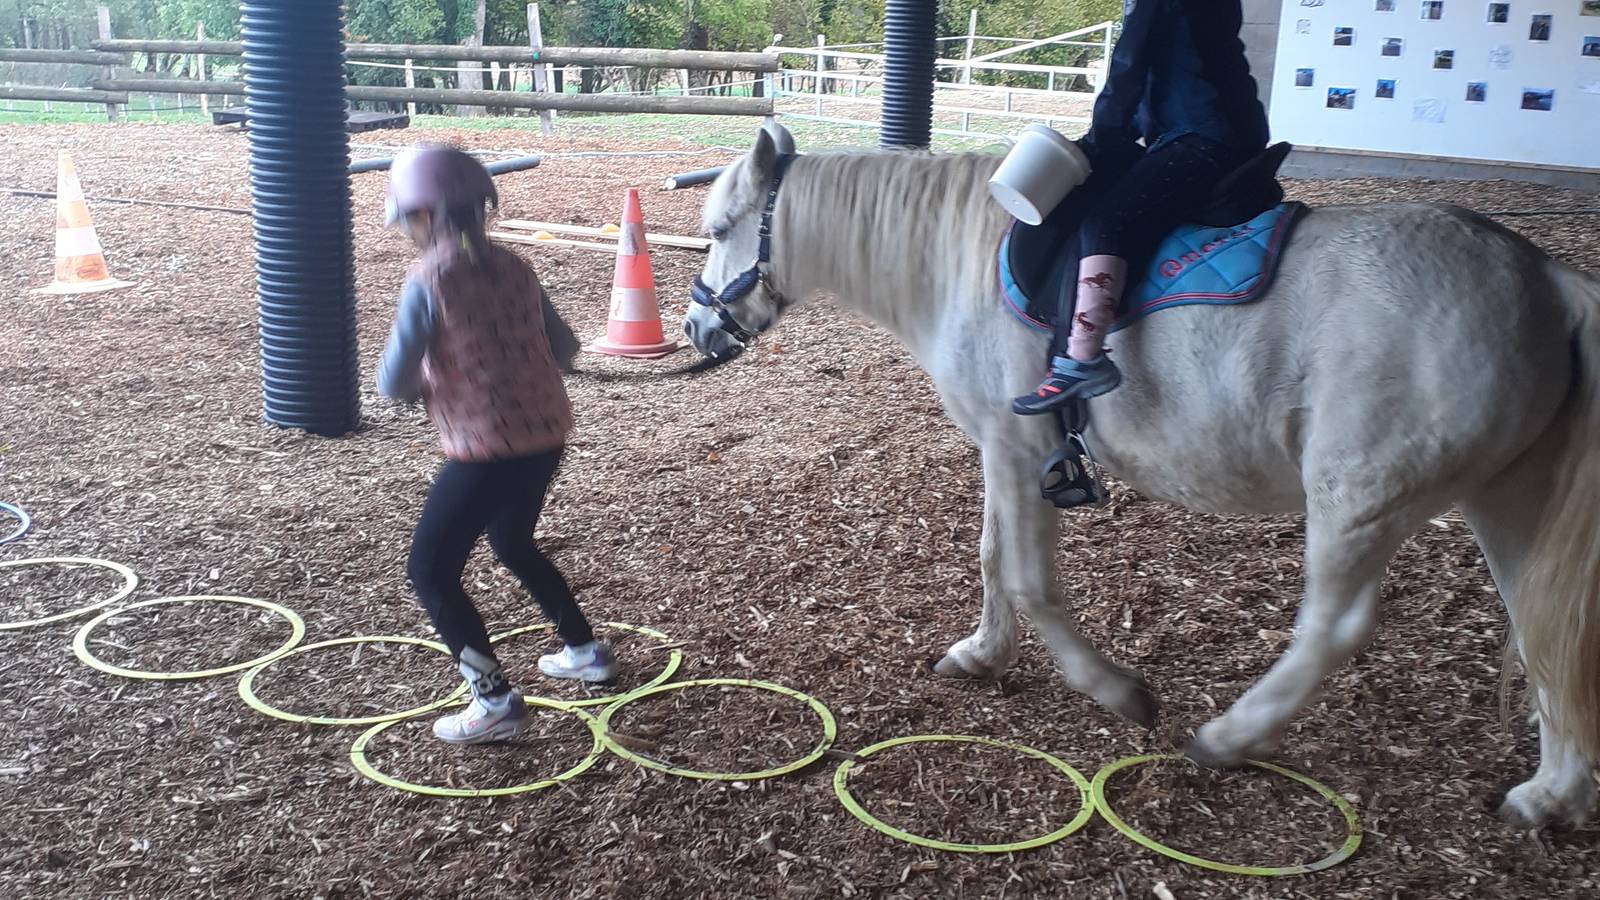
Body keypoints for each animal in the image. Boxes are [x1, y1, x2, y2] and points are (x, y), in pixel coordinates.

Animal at [680, 127, 1600, 828]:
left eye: (723, 227)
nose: (696, 327)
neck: (960, 258)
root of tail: (1543, 281)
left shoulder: (1018, 451)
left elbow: (1028, 578)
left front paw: (1115, 691)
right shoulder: (1001, 453)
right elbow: (992, 560)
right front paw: (981, 655)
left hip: (1358, 504)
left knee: (1333, 629)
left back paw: (1229, 739)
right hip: (1503, 502)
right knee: (1544, 633)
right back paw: (1549, 795)